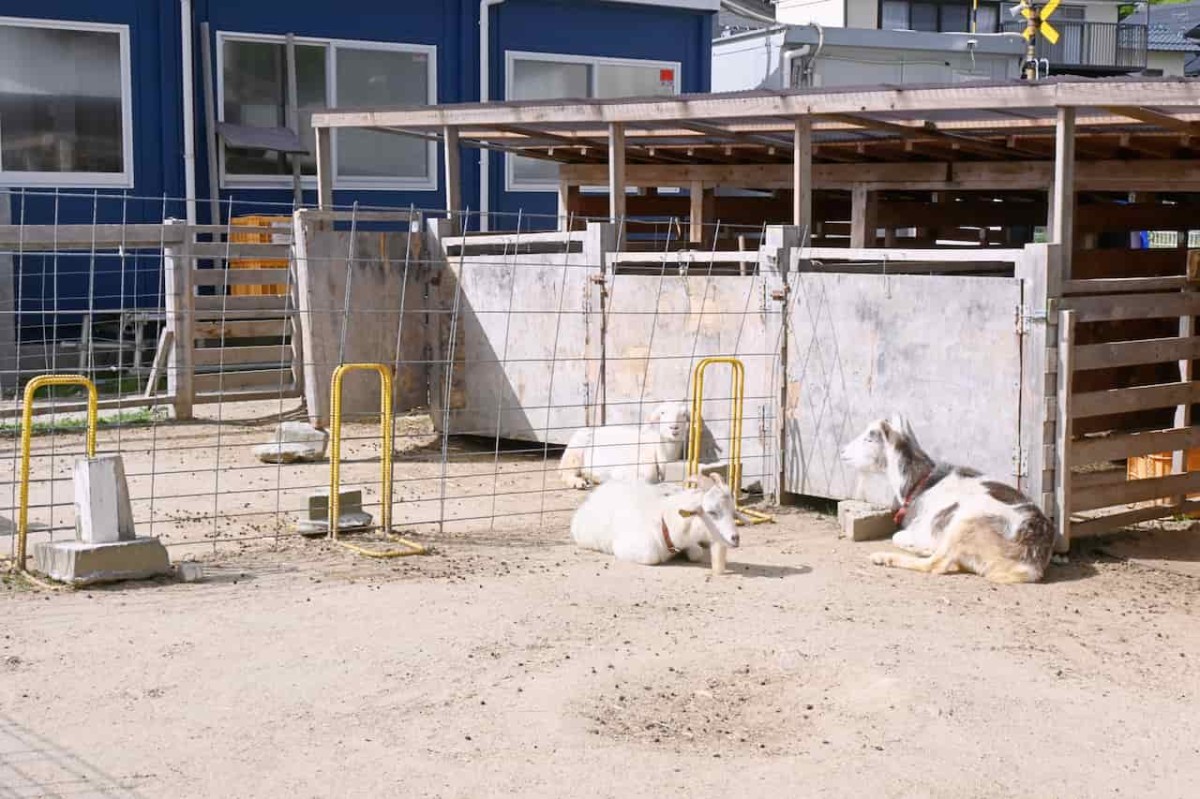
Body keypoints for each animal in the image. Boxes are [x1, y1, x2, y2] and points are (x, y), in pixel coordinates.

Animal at [556, 400, 691, 489]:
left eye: (684, 415)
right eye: (662, 413)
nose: (674, 428)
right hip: (575, 451)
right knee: (565, 472)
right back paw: (578, 482)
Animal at [568, 472, 744, 566]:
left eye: (733, 511)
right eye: (711, 512)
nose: (735, 538)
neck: (663, 522)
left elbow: (697, 552)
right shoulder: (630, 548)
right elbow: (651, 558)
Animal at [840, 412, 1056, 583]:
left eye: (869, 439)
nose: (842, 451)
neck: (922, 482)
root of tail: (1031, 562)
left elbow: (897, 536)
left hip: (965, 522)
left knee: (936, 564)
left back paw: (885, 557)